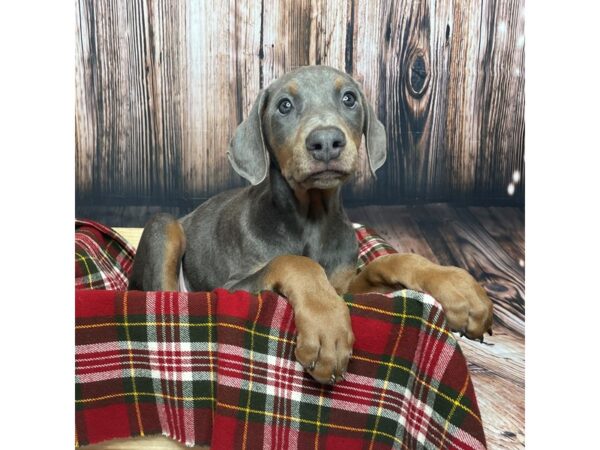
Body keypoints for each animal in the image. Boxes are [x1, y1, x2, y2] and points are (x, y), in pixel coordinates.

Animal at [130, 65, 492, 384]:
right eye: (284, 106)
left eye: (349, 98)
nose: (327, 142)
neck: (313, 219)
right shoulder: (231, 289)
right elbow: (295, 261)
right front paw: (326, 327)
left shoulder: (347, 288)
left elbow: (391, 260)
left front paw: (457, 287)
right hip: (164, 228)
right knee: (167, 297)